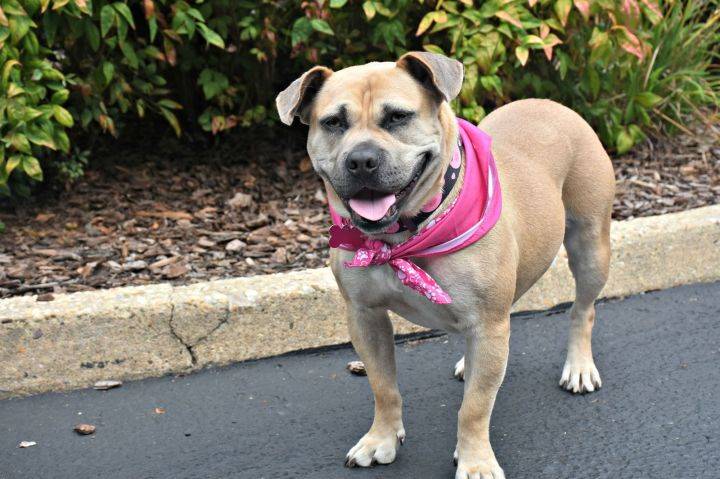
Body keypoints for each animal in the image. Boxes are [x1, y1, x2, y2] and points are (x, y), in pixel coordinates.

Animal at [276, 50, 612, 478]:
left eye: (398, 117)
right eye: (333, 122)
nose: (361, 159)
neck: (402, 237)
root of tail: (553, 105)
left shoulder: (488, 323)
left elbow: (475, 407)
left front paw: (475, 460)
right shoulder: (365, 316)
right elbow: (383, 387)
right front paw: (381, 439)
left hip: (591, 247)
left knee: (583, 309)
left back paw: (579, 366)